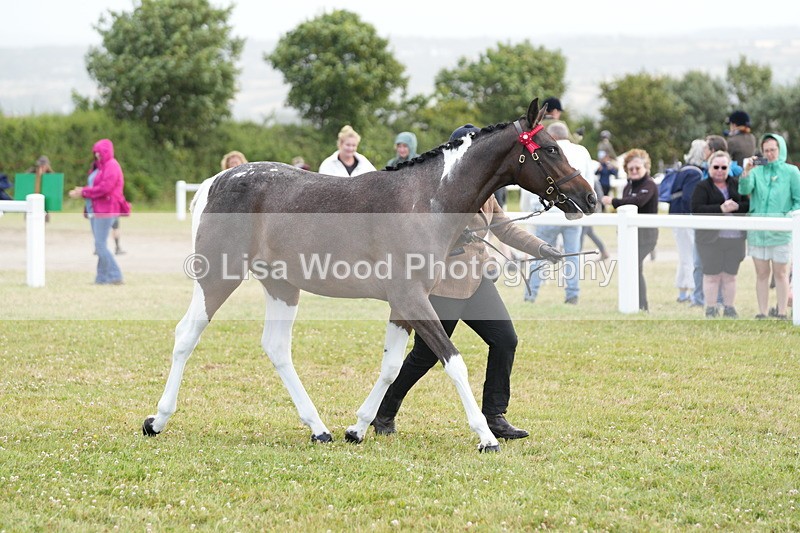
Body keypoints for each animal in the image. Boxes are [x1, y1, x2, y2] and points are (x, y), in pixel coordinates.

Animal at [142, 98, 597, 452]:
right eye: (550, 149)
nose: (589, 198)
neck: (426, 200)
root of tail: (216, 181)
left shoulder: (403, 304)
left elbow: (392, 367)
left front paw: (358, 427)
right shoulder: (413, 299)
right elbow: (453, 361)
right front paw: (485, 437)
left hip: (282, 285)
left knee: (276, 348)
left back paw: (319, 429)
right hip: (219, 277)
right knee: (186, 336)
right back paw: (157, 420)